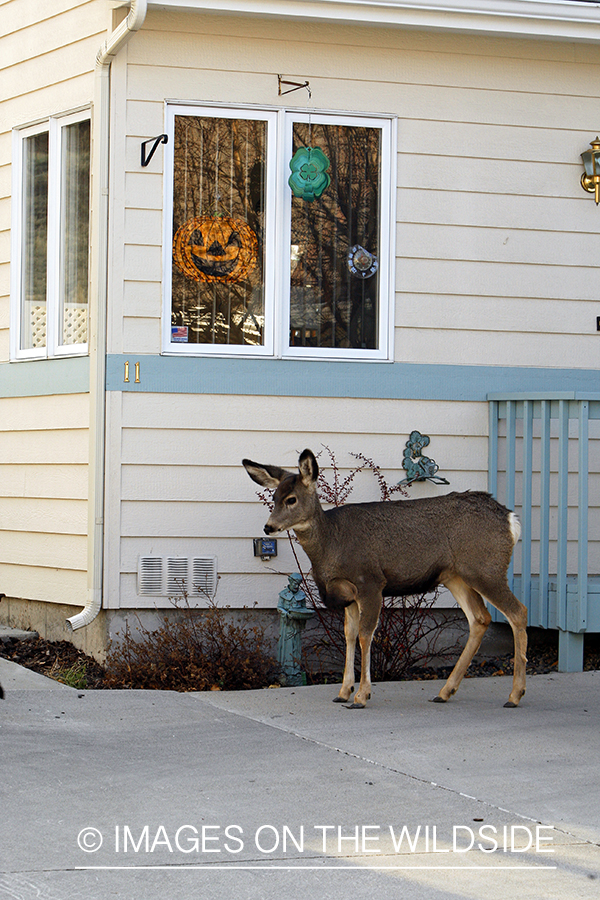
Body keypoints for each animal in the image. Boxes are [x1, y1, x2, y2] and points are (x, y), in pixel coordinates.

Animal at [243, 449, 527, 710]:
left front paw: (361, 696)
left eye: (291, 499)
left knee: (517, 612)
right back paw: (445, 692)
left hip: (486, 568)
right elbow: (349, 635)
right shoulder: (348, 596)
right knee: (480, 618)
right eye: (274, 497)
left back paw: (514, 695)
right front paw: (343, 692)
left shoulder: (370, 582)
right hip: (456, 576)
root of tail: (510, 519)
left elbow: (365, 635)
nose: (269, 527)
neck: (331, 544)